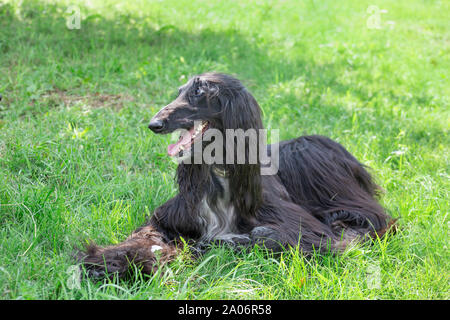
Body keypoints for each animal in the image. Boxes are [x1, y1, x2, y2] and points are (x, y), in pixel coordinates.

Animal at [80, 72, 394, 278]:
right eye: (179, 90)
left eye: (199, 92)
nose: (154, 124)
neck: (219, 181)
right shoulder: (168, 218)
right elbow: (148, 237)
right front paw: (111, 261)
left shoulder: (308, 230)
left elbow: (267, 236)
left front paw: (220, 243)